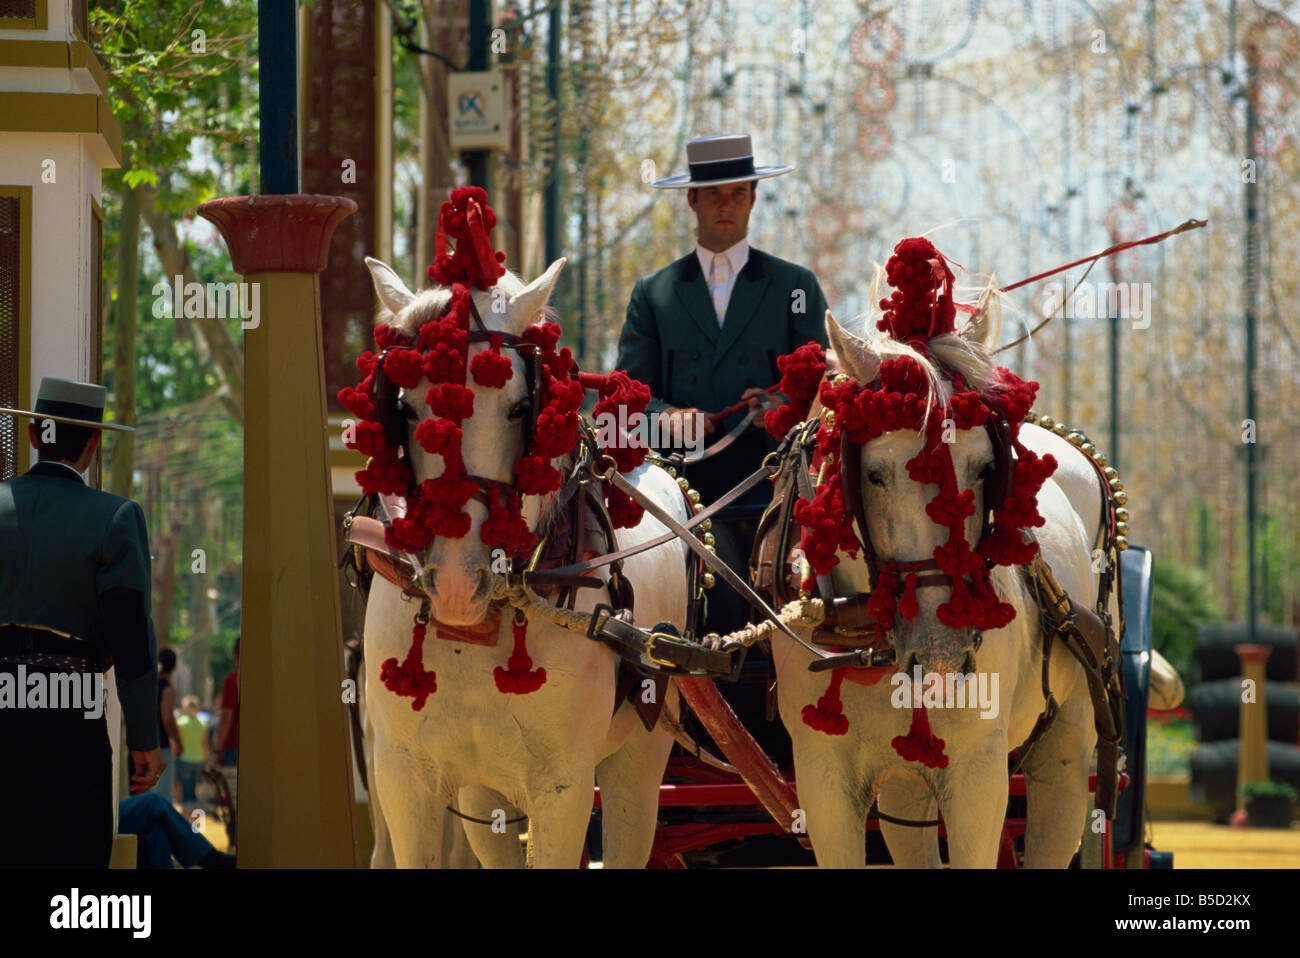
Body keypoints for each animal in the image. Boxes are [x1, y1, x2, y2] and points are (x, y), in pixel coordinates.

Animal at [356, 254, 681, 868]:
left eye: (521, 407)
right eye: (404, 407)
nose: (457, 585)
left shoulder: (564, 787)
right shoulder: (403, 776)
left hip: (640, 757)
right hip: (486, 791)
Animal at [769, 302, 1118, 868]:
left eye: (985, 467)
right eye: (874, 474)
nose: (941, 656)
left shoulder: (978, 772)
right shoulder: (822, 776)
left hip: (1069, 741)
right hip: (905, 781)